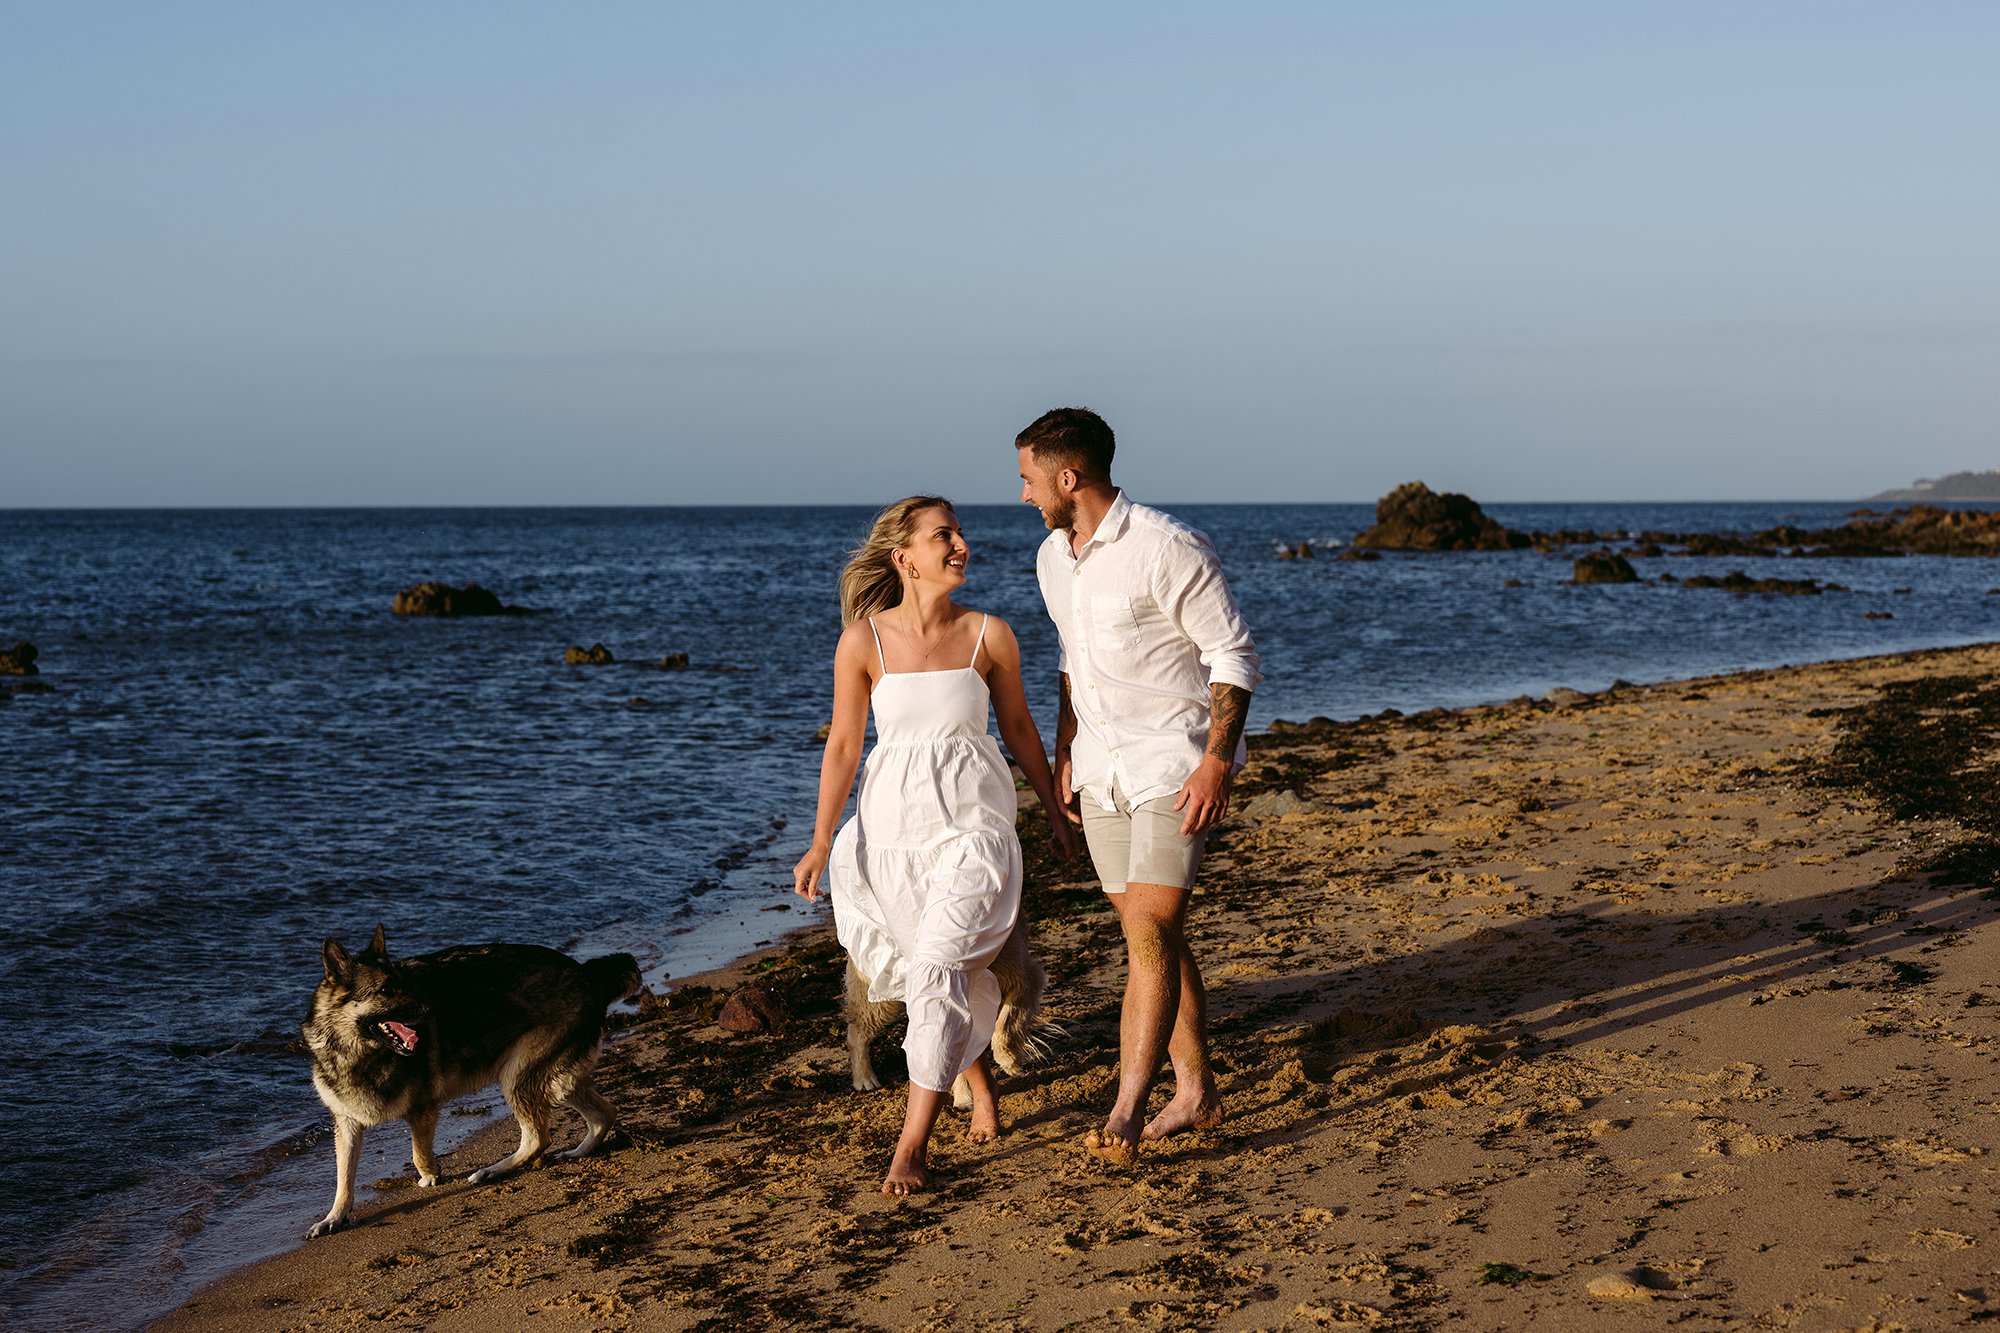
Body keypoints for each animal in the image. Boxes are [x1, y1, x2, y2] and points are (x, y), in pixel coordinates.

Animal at [302, 924, 640, 1232]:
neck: (358, 1051)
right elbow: (344, 1177)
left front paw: (430, 1176)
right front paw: (334, 1217)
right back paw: (577, 1152)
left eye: (404, 985)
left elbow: (418, 1153)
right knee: (603, 1114)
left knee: (538, 1138)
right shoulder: (346, 1123)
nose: (431, 1009)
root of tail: (586, 973)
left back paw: (492, 1171)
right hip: (558, 1081)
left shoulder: (423, 1110)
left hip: (516, 1076)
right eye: (386, 990)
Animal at [840, 912, 1048, 1096]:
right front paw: (965, 1093)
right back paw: (864, 1079)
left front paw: (1008, 1059)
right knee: (857, 1031)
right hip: (878, 994)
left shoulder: (1024, 978)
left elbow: (1006, 1023)